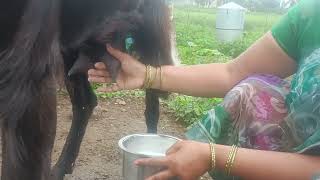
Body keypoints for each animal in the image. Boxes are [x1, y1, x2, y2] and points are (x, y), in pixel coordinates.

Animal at [0, 0, 174, 179]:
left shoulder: (30, 81)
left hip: (151, 35)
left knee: (153, 96)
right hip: (70, 50)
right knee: (86, 101)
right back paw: (62, 168)